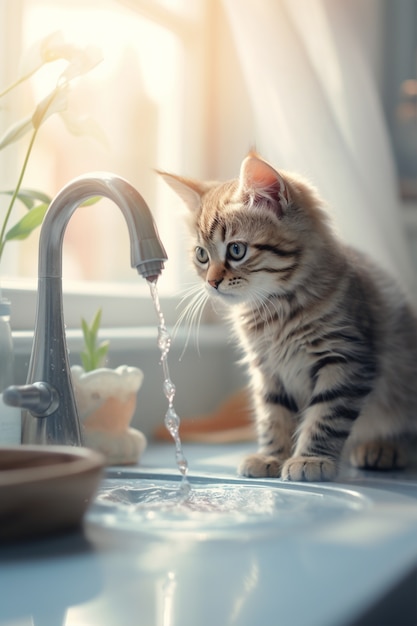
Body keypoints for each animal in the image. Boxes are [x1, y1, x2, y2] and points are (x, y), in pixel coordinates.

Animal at [158, 154, 416, 480]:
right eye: (202, 255)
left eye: (236, 250)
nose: (212, 282)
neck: (275, 312)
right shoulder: (268, 372)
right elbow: (274, 416)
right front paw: (272, 456)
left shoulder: (346, 359)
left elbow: (326, 415)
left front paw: (310, 459)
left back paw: (384, 447)